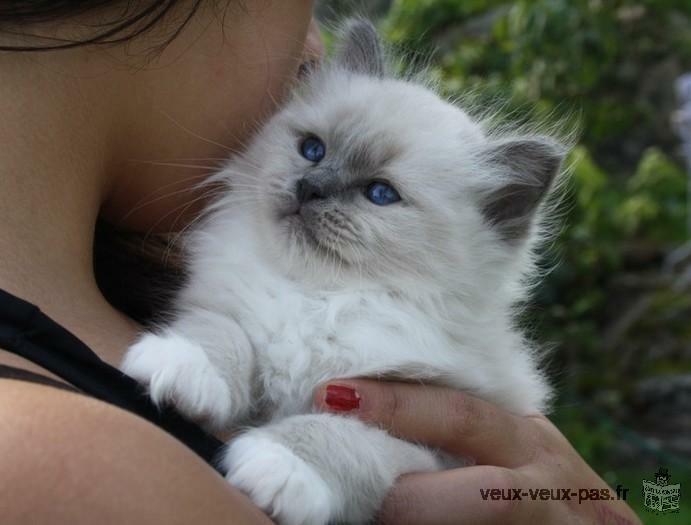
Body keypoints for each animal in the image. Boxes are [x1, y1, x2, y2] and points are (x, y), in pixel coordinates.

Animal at [124, 19, 568, 524]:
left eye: (380, 193)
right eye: (312, 150)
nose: (309, 187)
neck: (323, 296)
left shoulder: (420, 439)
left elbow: (338, 435)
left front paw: (278, 467)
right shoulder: (227, 311)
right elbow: (222, 337)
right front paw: (182, 367)